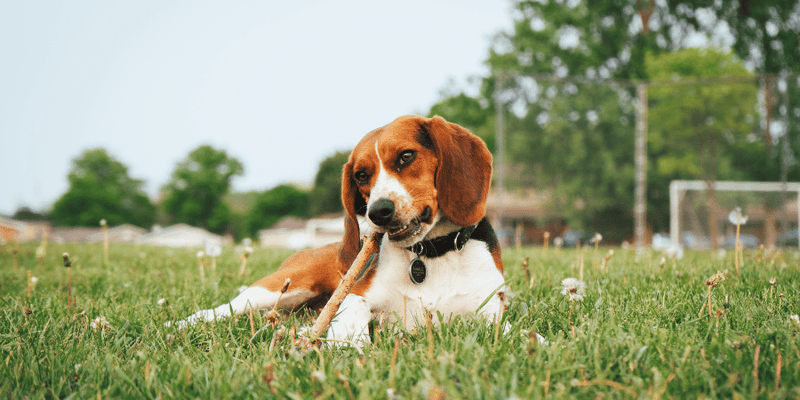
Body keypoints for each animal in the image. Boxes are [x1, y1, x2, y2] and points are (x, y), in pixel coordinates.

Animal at [180, 115, 506, 346]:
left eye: (406, 156)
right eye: (361, 175)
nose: (378, 211)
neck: (432, 253)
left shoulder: (493, 313)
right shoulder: (354, 296)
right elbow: (353, 310)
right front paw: (350, 345)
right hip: (279, 287)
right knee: (217, 310)